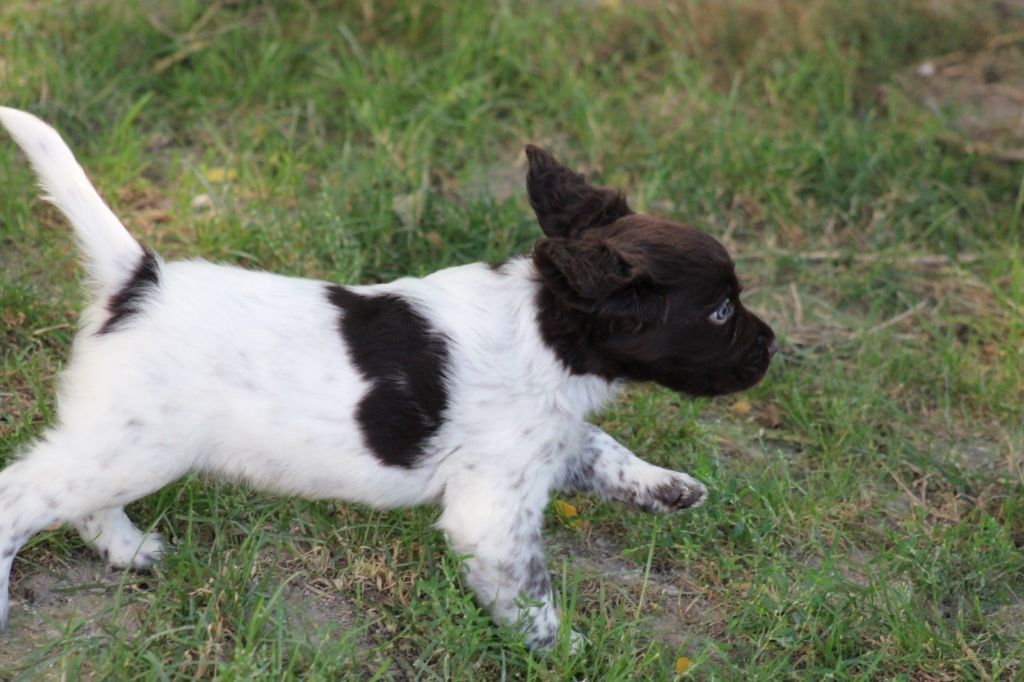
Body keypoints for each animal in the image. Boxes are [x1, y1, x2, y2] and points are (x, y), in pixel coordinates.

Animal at [0, 109, 770, 651]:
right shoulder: (493, 513)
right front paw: (572, 652)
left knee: (83, 505)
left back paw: (130, 551)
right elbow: (534, 599)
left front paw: (670, 489)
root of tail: (138, 281)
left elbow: (603, 449)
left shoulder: (543, 446)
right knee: (21, 497)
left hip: (123, 447)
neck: (542, 328)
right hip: (136, 445)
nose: (771, 347)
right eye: (720, 310)